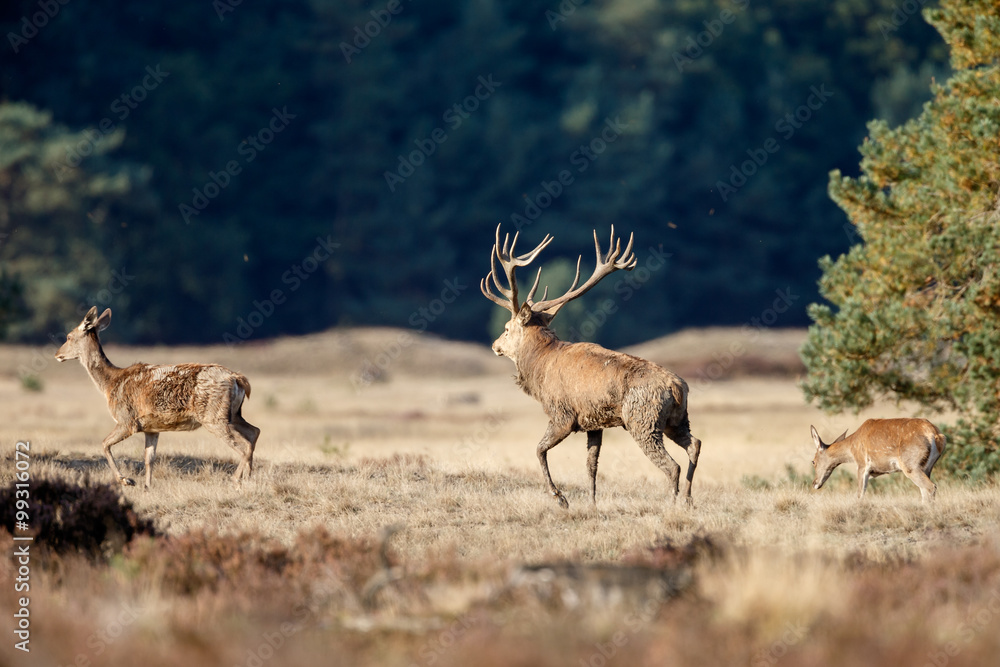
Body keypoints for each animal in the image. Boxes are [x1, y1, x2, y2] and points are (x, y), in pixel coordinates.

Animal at [55, 307, 260, 489]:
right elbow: (149, 458)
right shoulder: (151, 428)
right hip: (233, 414)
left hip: (213, 415)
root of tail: (238, 379)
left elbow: (104, 443)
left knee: (244, 444)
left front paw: (126, 480)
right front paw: (147, 487)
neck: (110, 384)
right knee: (254, 432)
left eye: (69, 336)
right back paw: (248, 478)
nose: (57, 354)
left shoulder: (127, 420)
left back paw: (236, 479)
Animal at [481, 225, 701, 508]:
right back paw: (688, 499)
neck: (539, 368)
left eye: (507, 328)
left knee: (672, 465)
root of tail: (677, 388)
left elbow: (539, 449)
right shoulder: (594, 422)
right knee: (695, 444)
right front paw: (592, 503)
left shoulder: (562, 414)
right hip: (677, 419)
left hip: (643, 419)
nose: (494, 345)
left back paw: (672, 505)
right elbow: (591, 465)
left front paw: (560, 497)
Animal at [810, 418, 945, 503]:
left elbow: (860, 495)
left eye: (813, 461)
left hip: (910, 465)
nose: (814, 483)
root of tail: (936, 435)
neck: (852, 447)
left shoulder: (862, 465)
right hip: (926, 467)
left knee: (930, 487)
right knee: (924, 491)